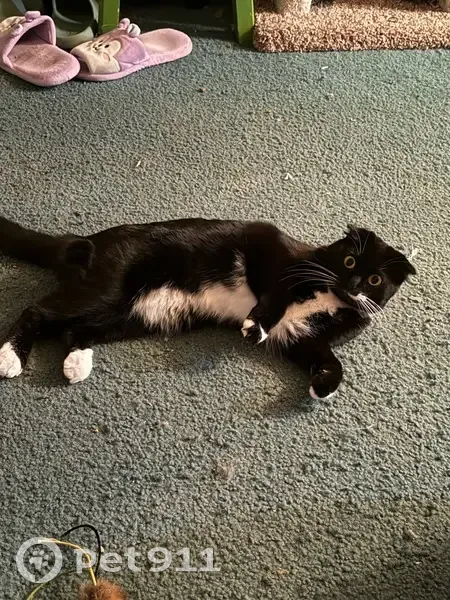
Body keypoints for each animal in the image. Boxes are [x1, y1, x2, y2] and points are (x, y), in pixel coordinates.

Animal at [0, 217, 415, 399]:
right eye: (349, 261)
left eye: (375, 280)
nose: (355, 284)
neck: (330, 297)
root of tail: (86, 240)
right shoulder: (274, 253)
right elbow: (275, 297)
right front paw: (254, 325)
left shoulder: (302, 340)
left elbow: (330, 361)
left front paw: (323, 386)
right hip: (108, 289)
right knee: (38, 311)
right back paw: (10, 358)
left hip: (127, 315)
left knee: (73, 328)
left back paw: (76, 363)